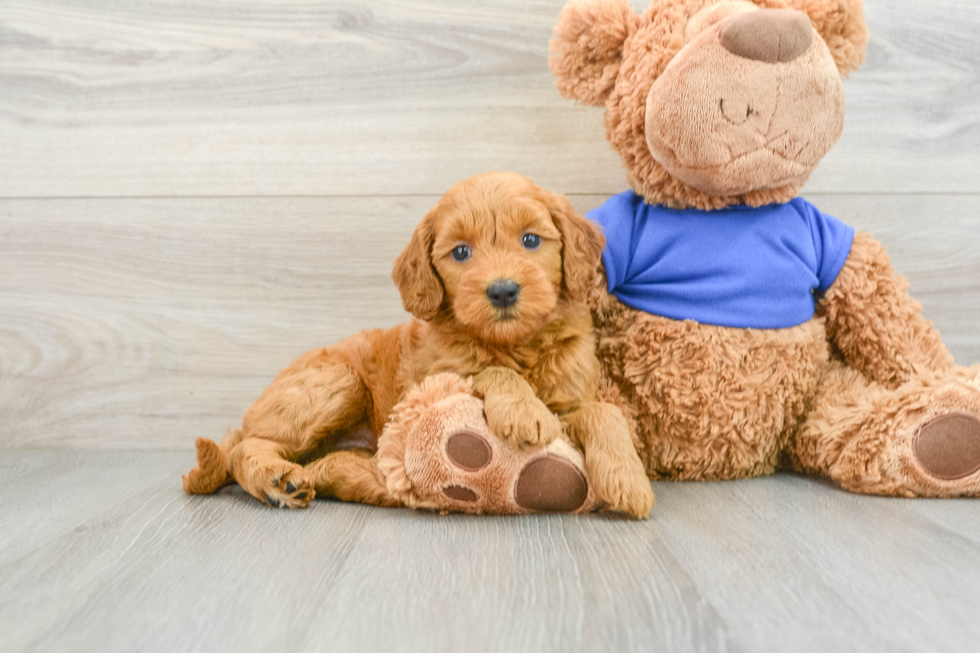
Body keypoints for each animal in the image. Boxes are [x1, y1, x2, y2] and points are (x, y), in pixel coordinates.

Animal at [184, 171, 660, 516]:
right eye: (461, 252)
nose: (503, 291)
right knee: (246, 448)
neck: (513, 345)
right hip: (336, 382)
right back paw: (276, 480)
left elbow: (604, 411)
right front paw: (523, 410)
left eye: (530, 240)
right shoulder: (438, 374)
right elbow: (490, 370)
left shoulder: (571, 396)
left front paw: (628, 479)